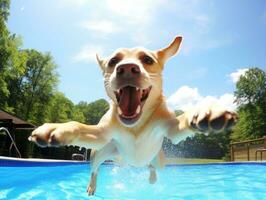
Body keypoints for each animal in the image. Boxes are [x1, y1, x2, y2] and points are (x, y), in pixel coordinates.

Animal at [28, 36, 237, 195]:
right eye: (113, 61)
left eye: (148, 60)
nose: (127, 68)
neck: (135, 123)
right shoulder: (101, 134)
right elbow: (79, 126)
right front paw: (59, 128)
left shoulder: (172, 129)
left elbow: (183, 119)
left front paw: (204, 112)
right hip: (100, 152)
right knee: (95, 169)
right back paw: (91, 186)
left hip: (159, 160)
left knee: (152, 166)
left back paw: (152, 177)